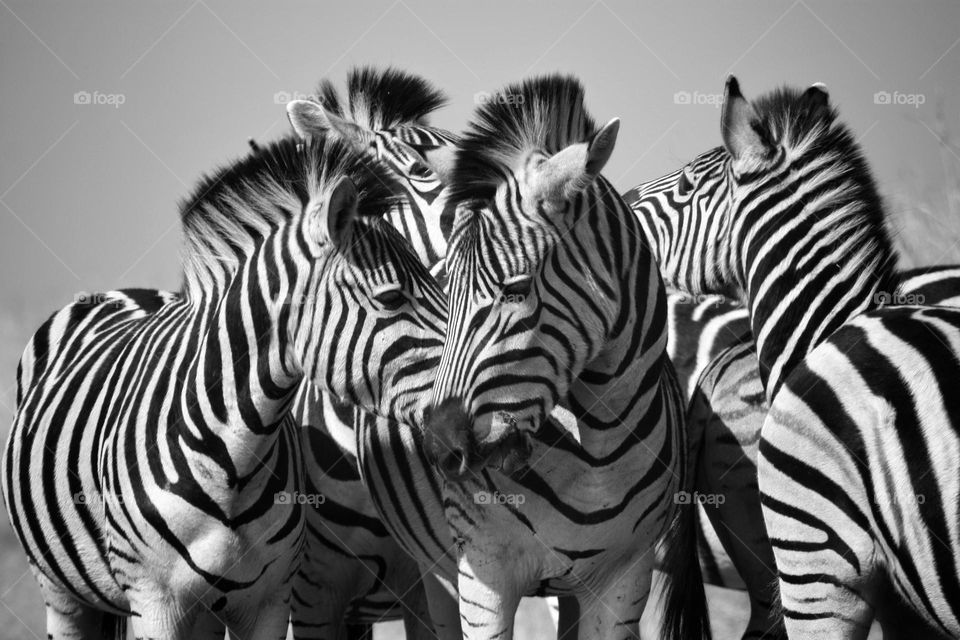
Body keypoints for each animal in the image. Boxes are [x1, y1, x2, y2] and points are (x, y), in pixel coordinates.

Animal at [1, 131, 446, 639]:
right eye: (392, 297)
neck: (234, 463)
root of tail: (124, 293)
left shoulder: (269, 601)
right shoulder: (154, 602)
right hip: (61, 593)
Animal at [392, 74, 711, 640]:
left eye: (516, 291)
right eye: (444, 290)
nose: (440, 449)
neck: (600, 449)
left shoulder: (626, 578)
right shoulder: (483, 572)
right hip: (431, 571)